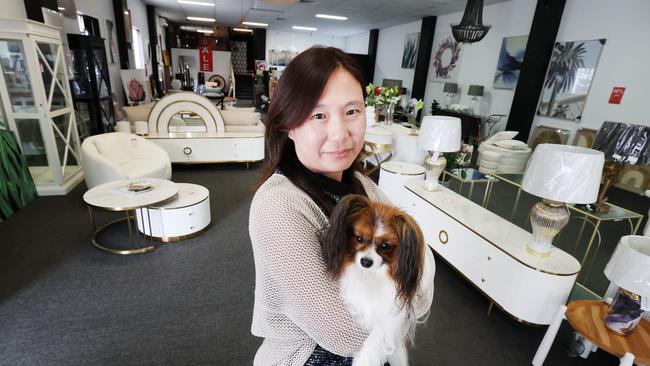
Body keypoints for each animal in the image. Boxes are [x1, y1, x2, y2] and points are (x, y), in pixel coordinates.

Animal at [318, 194, 430, 366]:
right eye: (359, 238)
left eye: (385, 246)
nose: (365, 262)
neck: (373, 275)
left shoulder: (394, 313)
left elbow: (379, 334)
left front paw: (364, 360)